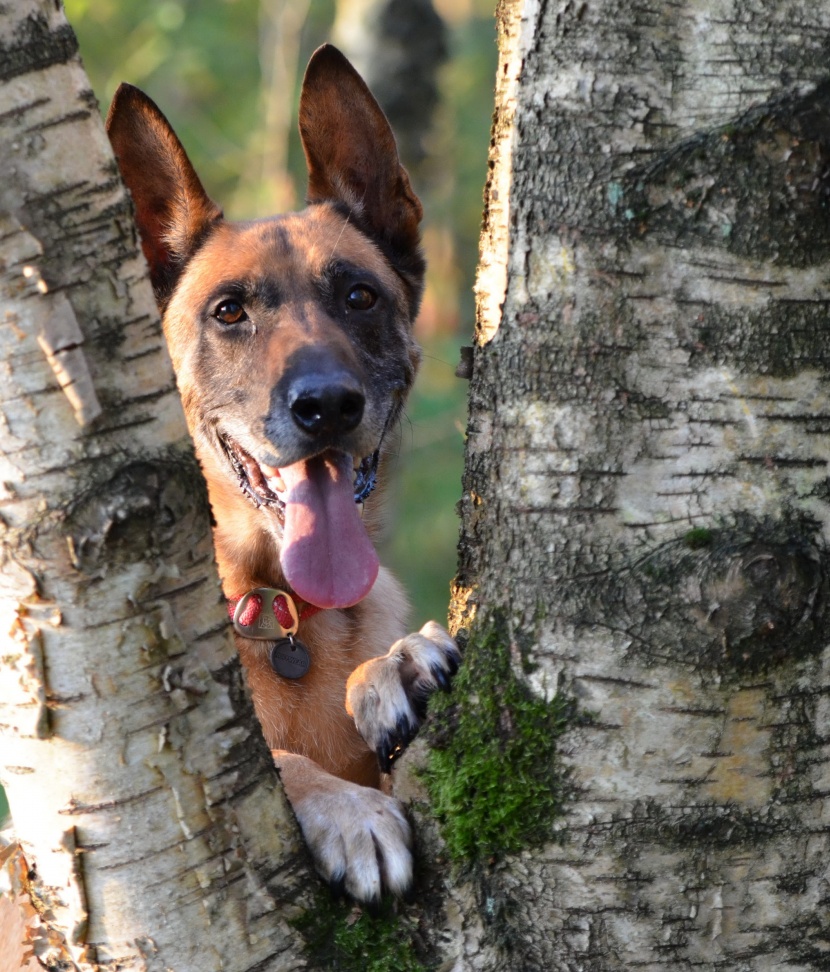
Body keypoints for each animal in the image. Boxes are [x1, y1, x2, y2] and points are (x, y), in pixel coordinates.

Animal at [105, 39, 462, 904]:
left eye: (359, 296)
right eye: (230, 311)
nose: (326, 406)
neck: (285, 613)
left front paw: (395, 665)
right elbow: (283, 758)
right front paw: (349, 812)